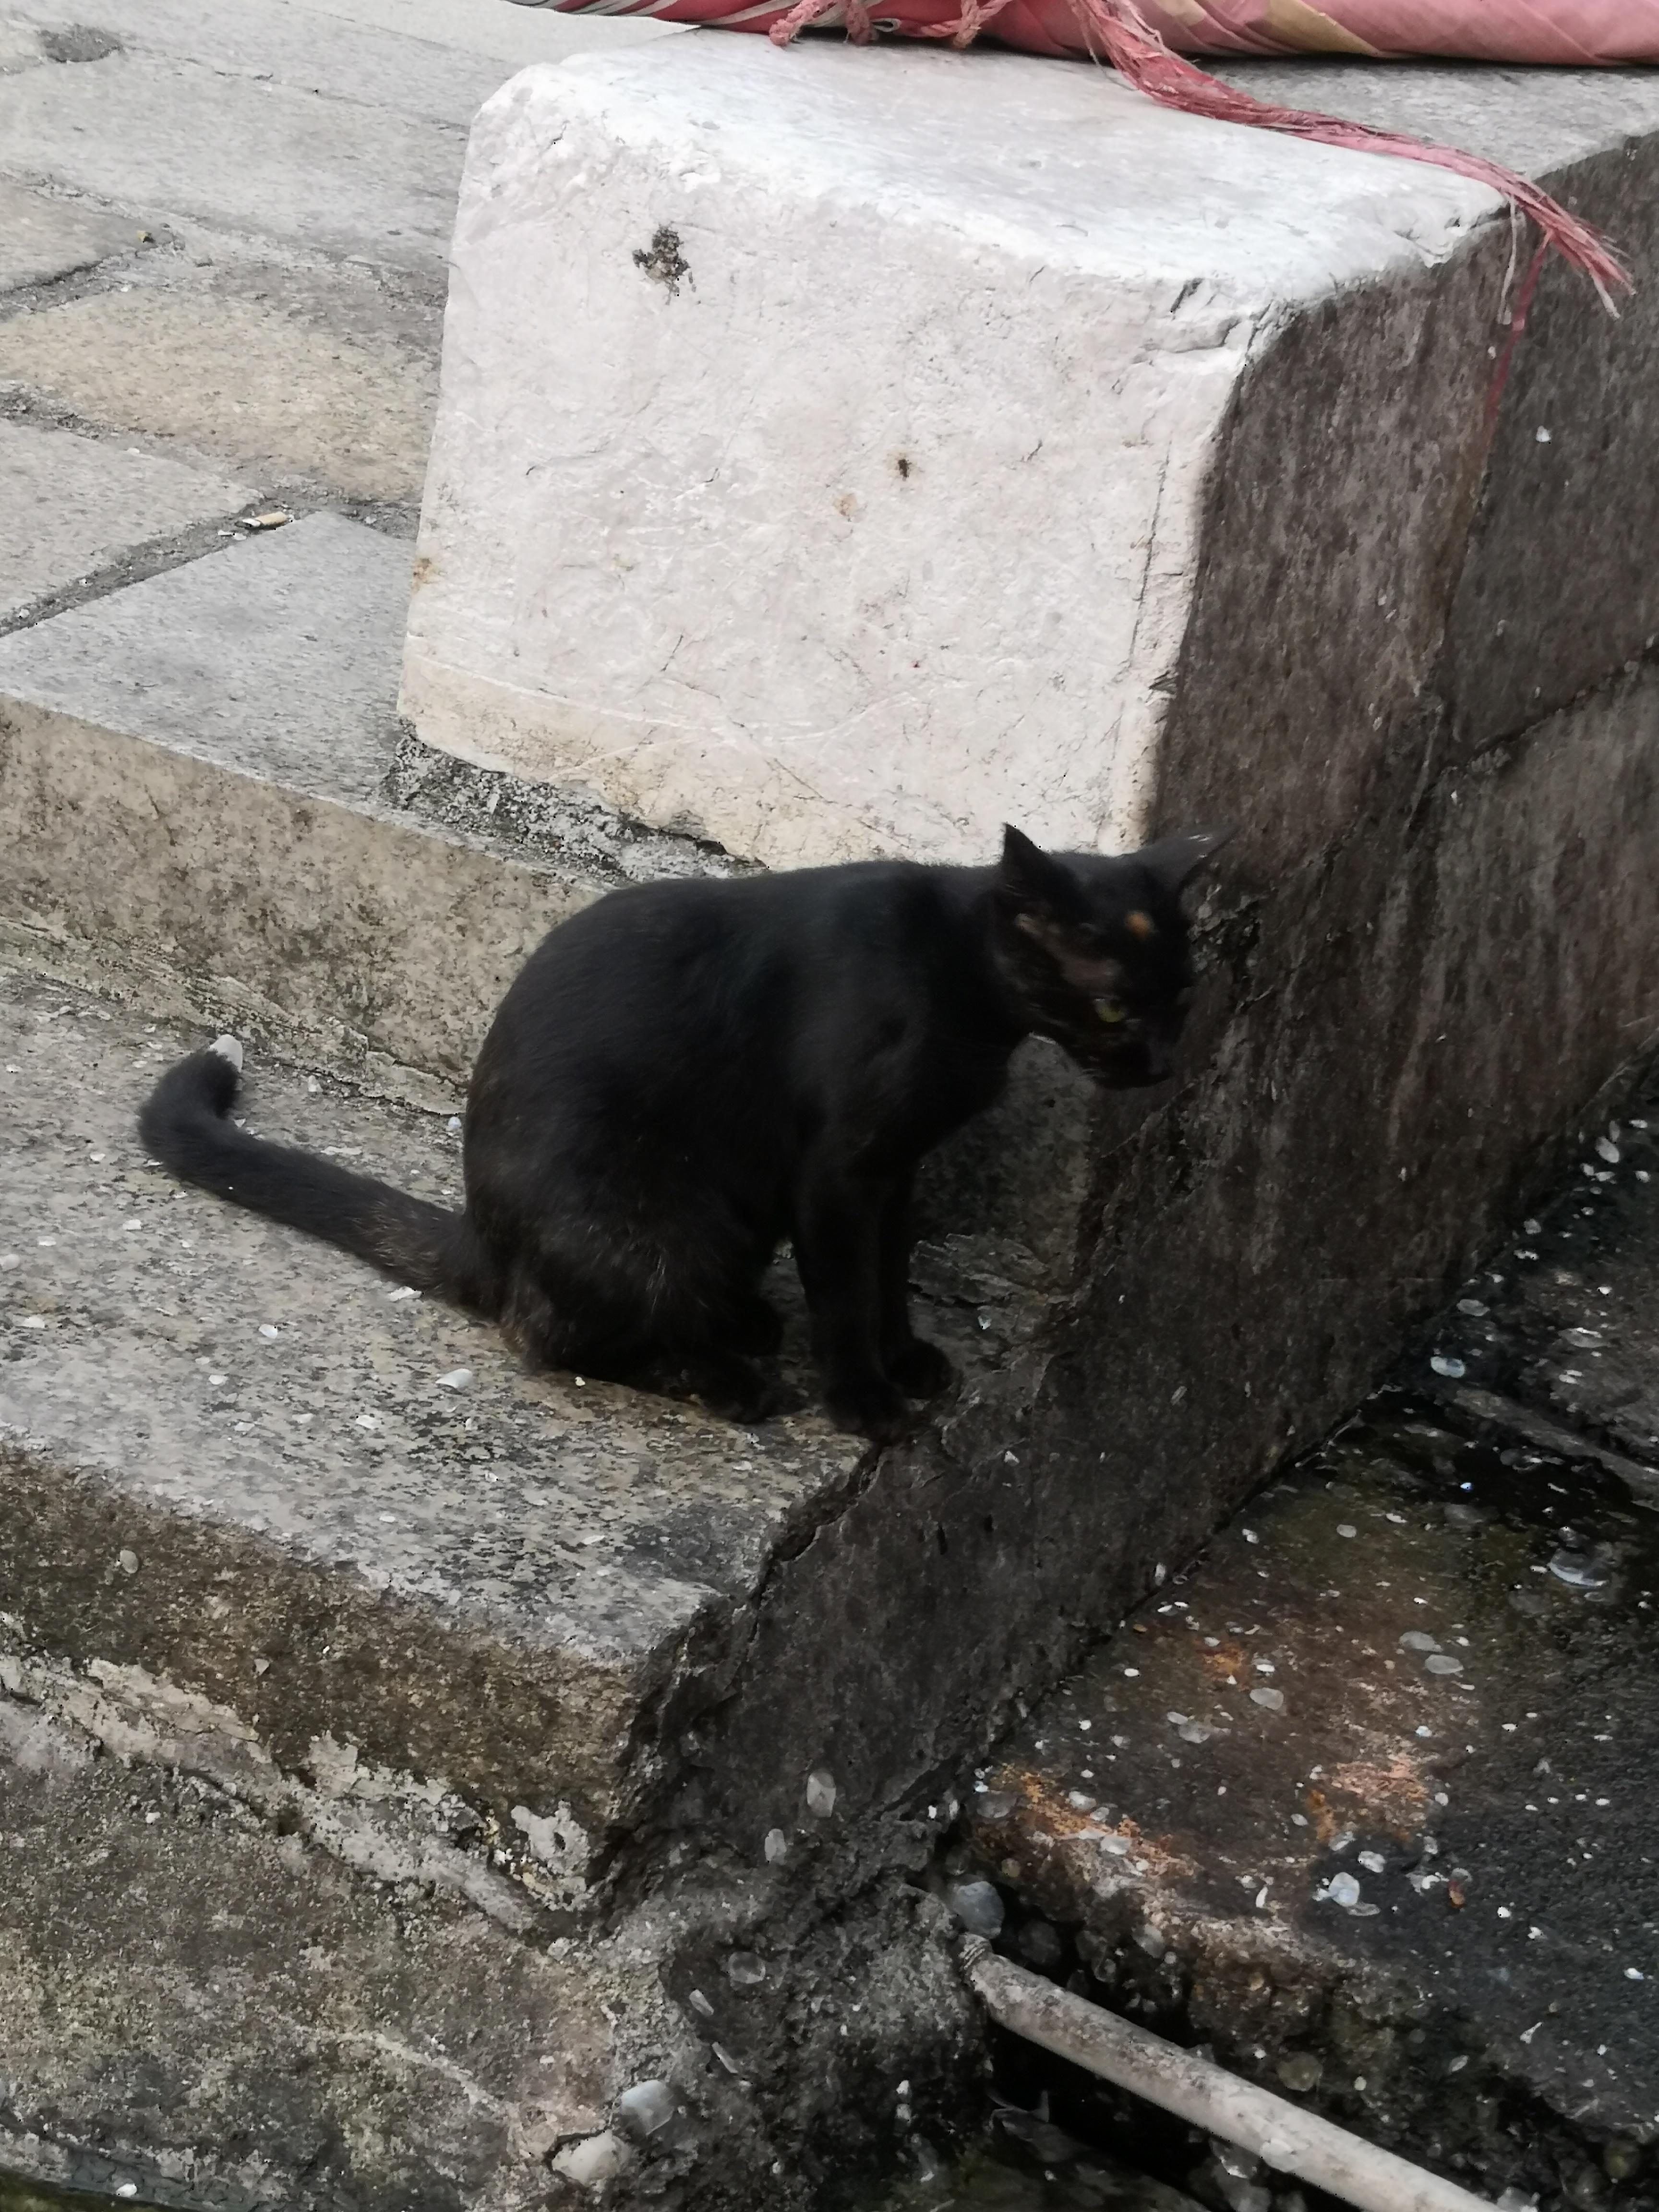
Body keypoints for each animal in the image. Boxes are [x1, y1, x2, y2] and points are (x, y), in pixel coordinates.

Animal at [139, 825, 1222, 1442]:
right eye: (1116, 1006)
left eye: (1182, 997)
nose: (1163, 1065)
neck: (960, 981)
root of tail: (487, 1239)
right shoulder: (838, 1172)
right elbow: (846, 1291)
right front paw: (866, 1400)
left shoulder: (897, 1169)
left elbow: (891, 1273)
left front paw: (907, 1355)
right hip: (652, 1225)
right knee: (552, 1336)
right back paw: (733, 1380)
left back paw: (743, 1325)